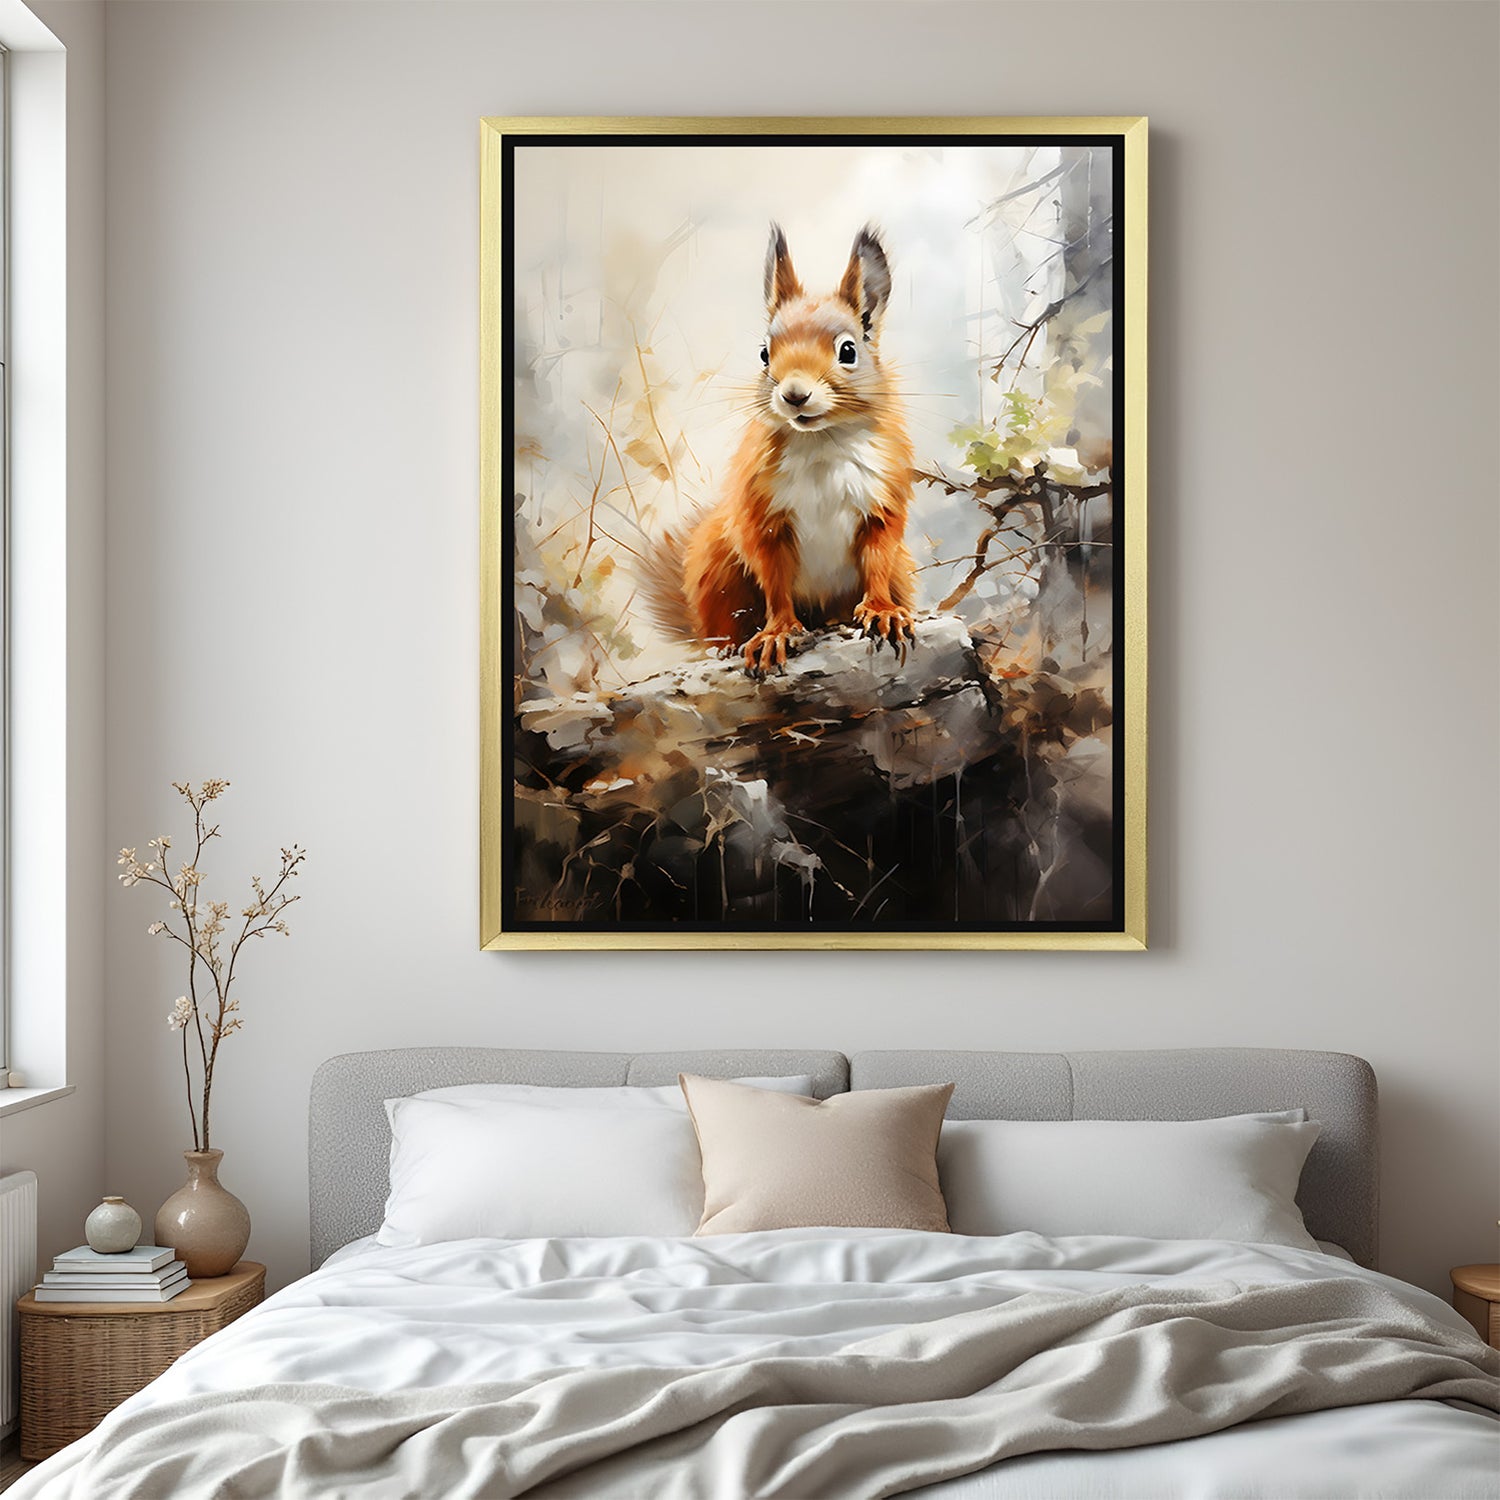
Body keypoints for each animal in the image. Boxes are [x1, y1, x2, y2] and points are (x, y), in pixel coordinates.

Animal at [642, 224, 917, 674]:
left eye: (848, 351)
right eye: (764, 354)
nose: (794, 394)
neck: (820, 441)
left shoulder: (881, 501)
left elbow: (877, 559)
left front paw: (882, 611)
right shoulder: (763, 516)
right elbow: (774, 579)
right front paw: (777, 632)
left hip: (902, 571)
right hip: (717, 566)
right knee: (724, 624)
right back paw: (729, 645)